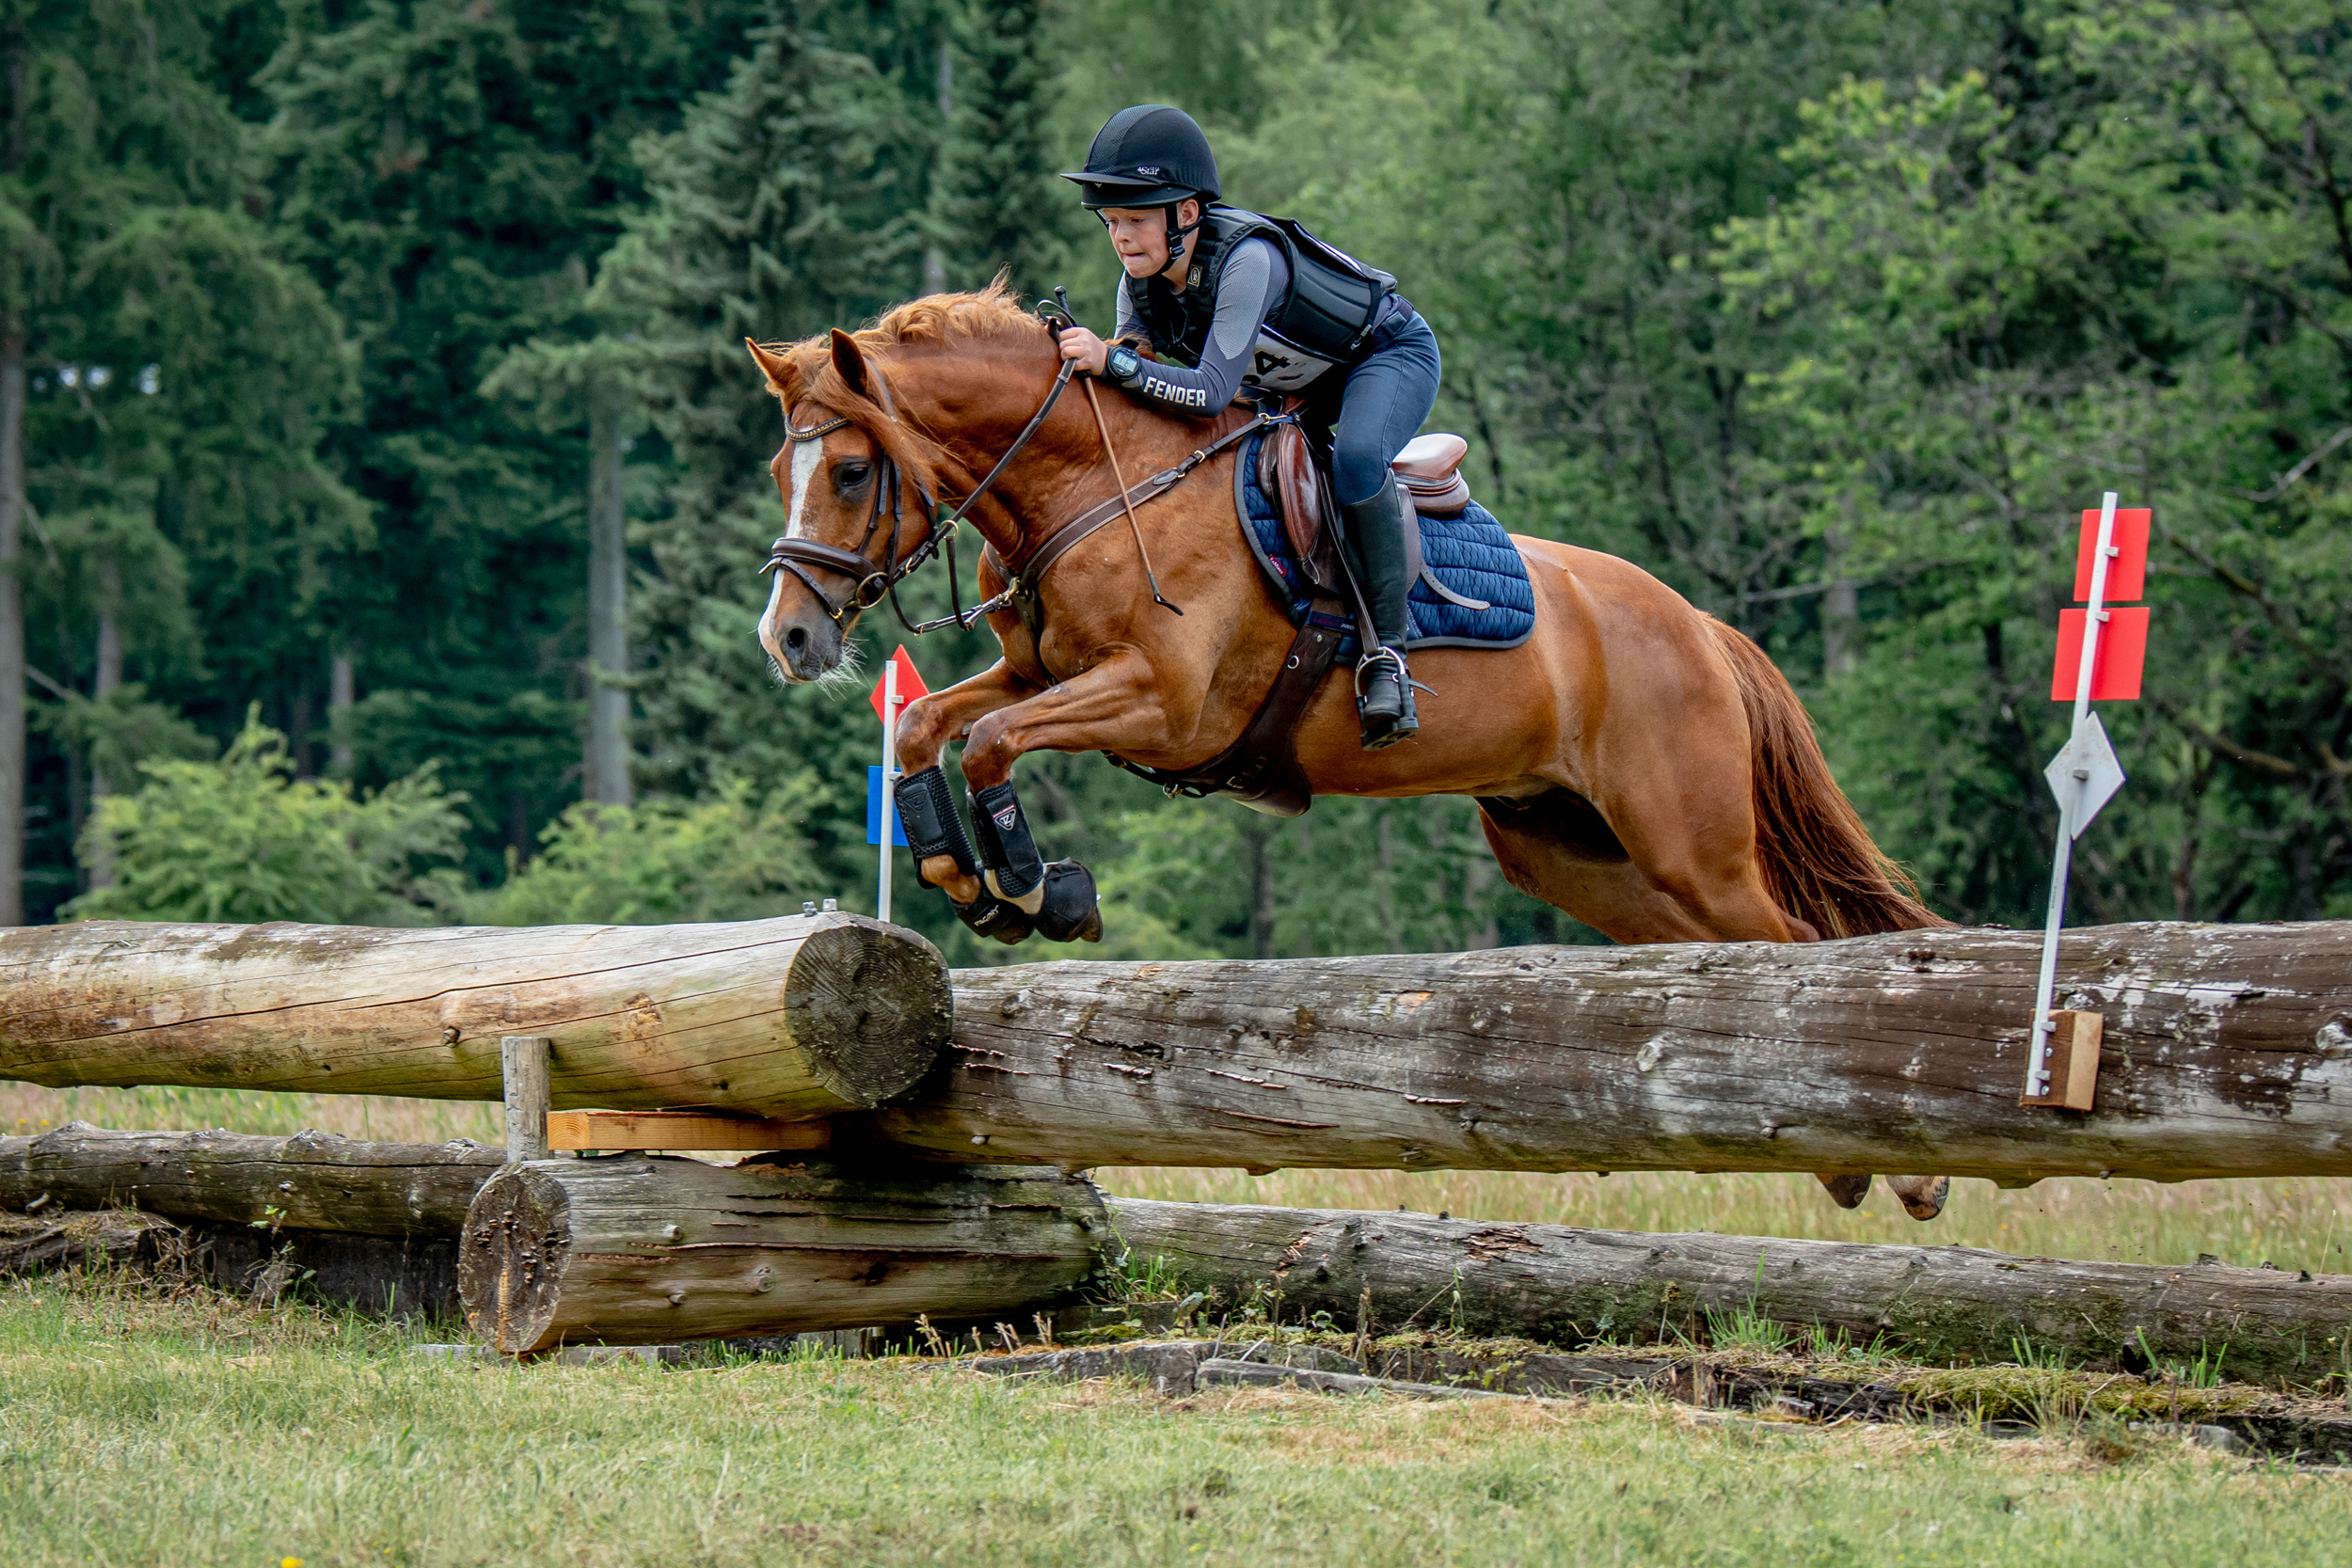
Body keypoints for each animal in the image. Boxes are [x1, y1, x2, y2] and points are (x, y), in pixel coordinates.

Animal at [745, 284, 1953, 1219]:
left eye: (848, 473)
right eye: (776, 472)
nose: (788, 639)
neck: (1094, 481)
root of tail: (1702, 626)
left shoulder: (1164, 703)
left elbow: (992, 741)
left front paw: (1042, 888)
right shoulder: (1044, 676)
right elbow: (931, 724)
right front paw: (963, 877)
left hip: (1687, 842)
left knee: (1794, 942)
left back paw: (1904, 1170)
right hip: (1574, 853)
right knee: (1715, 958)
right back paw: (1846, 1163)